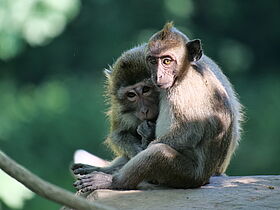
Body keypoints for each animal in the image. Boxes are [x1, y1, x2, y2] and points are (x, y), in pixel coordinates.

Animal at [71, 44, 160, 176]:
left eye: (146, 89)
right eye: (131, 95)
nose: (144, 110)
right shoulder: (119, 110)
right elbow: (118, 135)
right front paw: (138, 151)